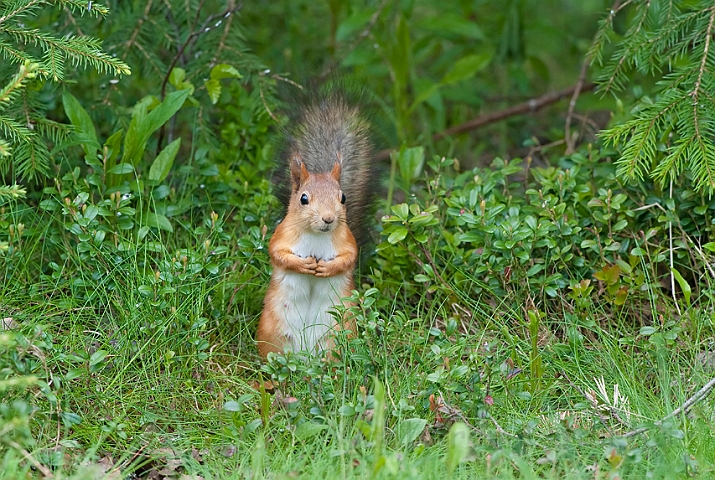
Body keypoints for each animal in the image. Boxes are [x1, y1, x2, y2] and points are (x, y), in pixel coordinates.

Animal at [260, 94, 378, 356]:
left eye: (343, 197)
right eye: (303, 198)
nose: (328, 218)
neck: (315, 234)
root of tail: (304, 358)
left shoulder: (346, 239)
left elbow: (349, 257)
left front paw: (326, 268)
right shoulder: (282, 235)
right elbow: (277, 253)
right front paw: (303, 264)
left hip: (340, 331)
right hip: (271, 333)